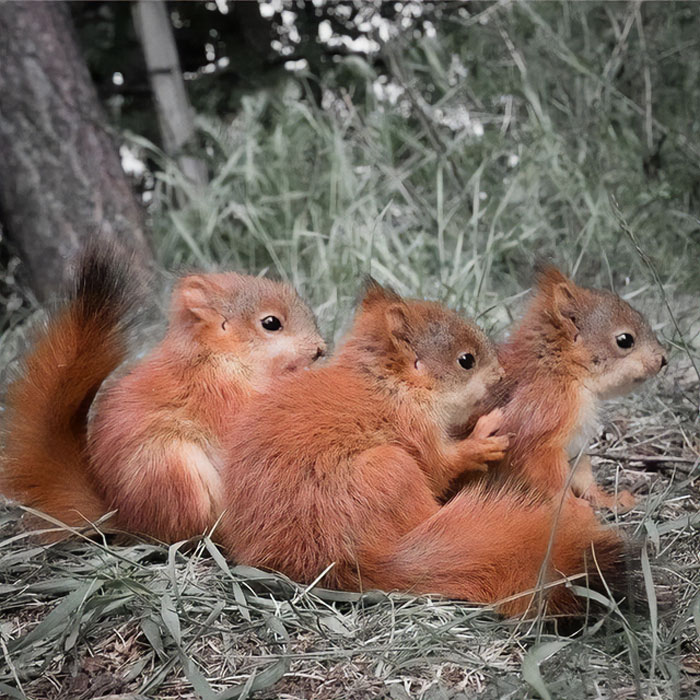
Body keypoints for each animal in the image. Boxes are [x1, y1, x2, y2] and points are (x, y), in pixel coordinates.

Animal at [1, 245, 326, 542]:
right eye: (271, 323)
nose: (320, 350)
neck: (217, 354)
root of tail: (128, 518)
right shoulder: (215, 391)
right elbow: (247, 414)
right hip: (176, 470)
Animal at [217, 280, 624, 617]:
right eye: (466, 361)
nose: (501, 376)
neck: (390, 385)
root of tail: (334, 559)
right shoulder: (413, 428)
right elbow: (440, 466)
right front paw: (482, 439)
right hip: (392, 470)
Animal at [459, 265, 668, 511]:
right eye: (625, 340)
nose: (664, 359)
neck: (563, 372)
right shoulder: (544, 419)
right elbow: (554, 481)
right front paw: (574, 507)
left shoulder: (576, 443)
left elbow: (583, 477)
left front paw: (610, 499)